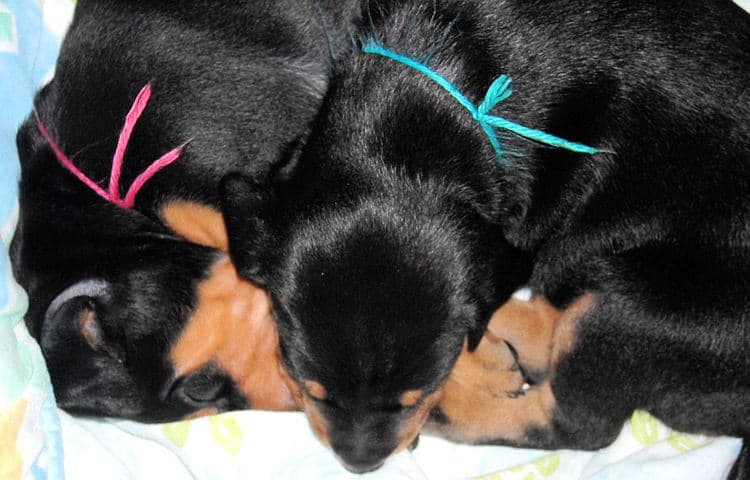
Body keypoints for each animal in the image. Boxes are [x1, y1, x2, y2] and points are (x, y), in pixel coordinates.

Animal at [222, 0, 750, 474]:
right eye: (311, 387)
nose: (361, 464)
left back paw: (456, 408)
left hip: (641, 309)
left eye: (411, 397)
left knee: (576, 421)